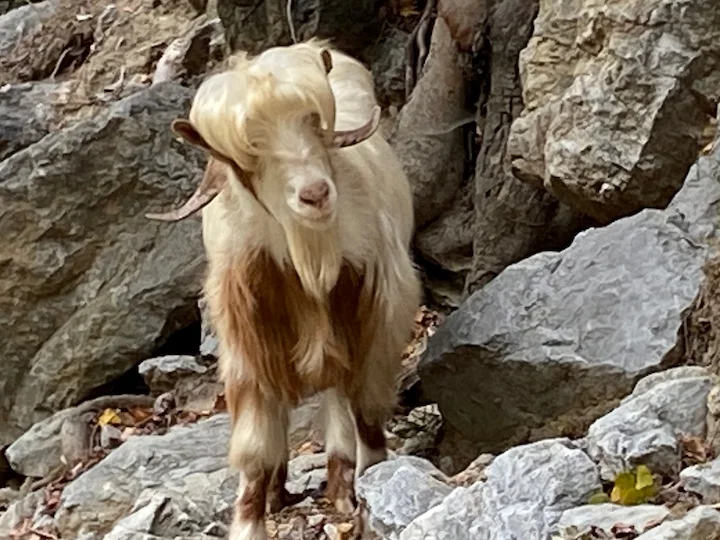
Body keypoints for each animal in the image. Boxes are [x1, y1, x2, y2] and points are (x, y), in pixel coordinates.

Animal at [147, 39, 422, 540]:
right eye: (243, 155)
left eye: (314, 121)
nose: (315, 194)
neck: (310, 260)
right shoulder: (249, 345)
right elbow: (256, 450)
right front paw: (250, 521)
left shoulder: (378, 316)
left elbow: (367, 413)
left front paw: (367, 490)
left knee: (339, 402)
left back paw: (341, 484)